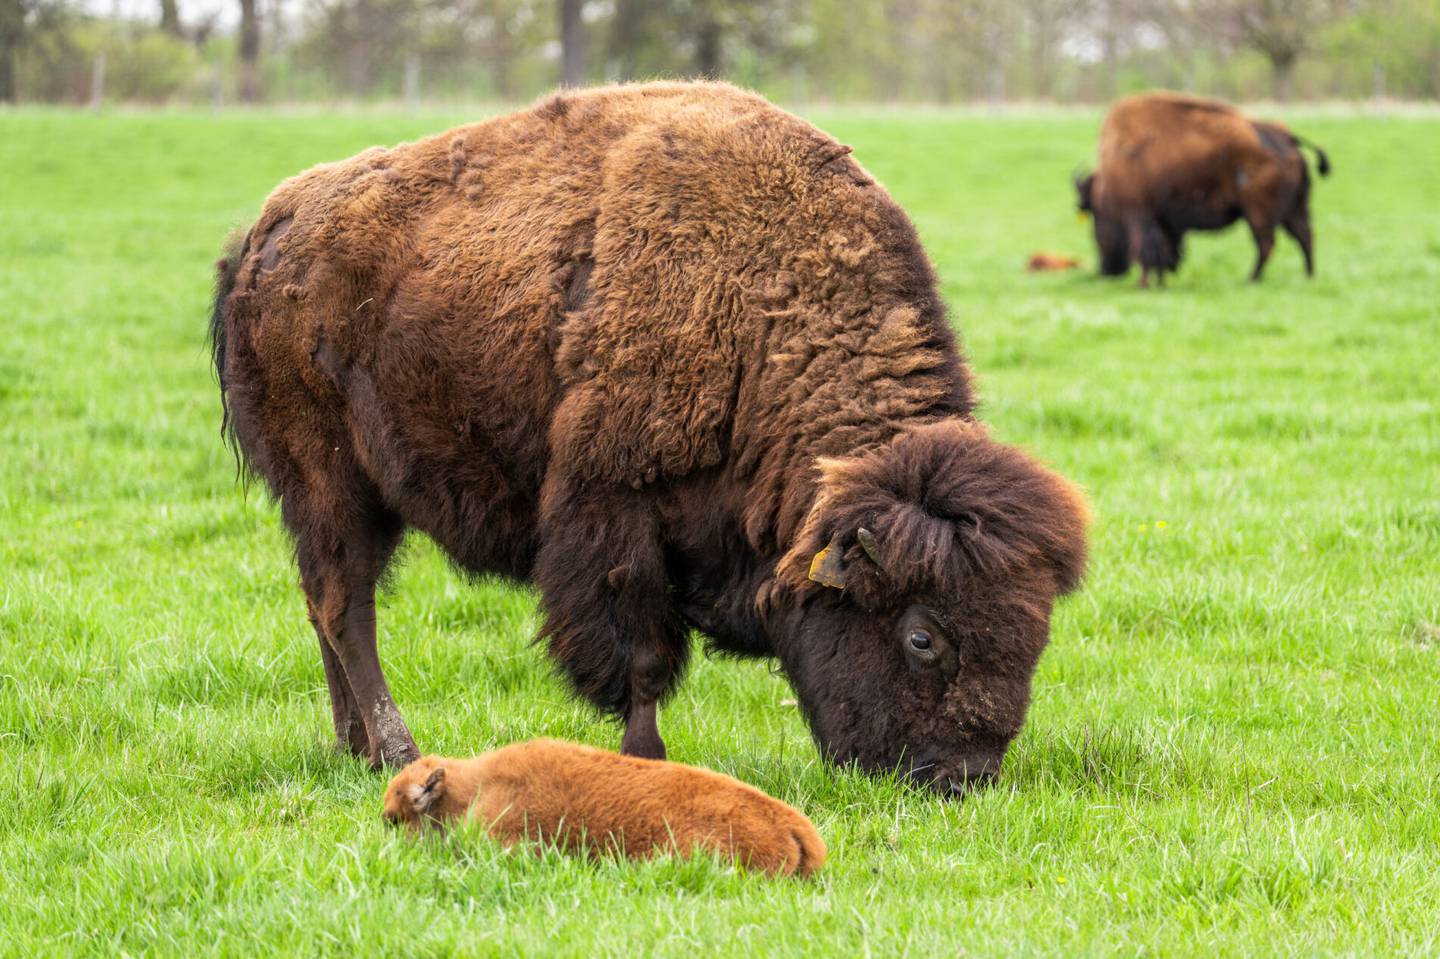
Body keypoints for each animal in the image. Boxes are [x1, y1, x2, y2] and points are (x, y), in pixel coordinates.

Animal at [210, 82, 1088, 789]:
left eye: (1034, 636)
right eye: (921, 637)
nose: (961, 778)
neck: (763, 306)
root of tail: (264, 234)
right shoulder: (614, 516)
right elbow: (639, 657)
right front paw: (647, 760)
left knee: (327, 604)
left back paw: (354, 748)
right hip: (330, 483)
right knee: (345, 607)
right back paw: (397, 749)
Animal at [1077, 91, 1330, 285]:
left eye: (1095, 216)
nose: (1107, 271)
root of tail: (1287, 138)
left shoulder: (1139, 216)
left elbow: (1146, 251)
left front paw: (1144, 285)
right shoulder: (1164, 222)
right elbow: (1163, 252)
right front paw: (1159, 283)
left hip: (1259, 214)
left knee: (1267, 244)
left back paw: (1252, 279)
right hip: (1294, 209)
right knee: (1305, 237)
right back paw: (1307, 277)